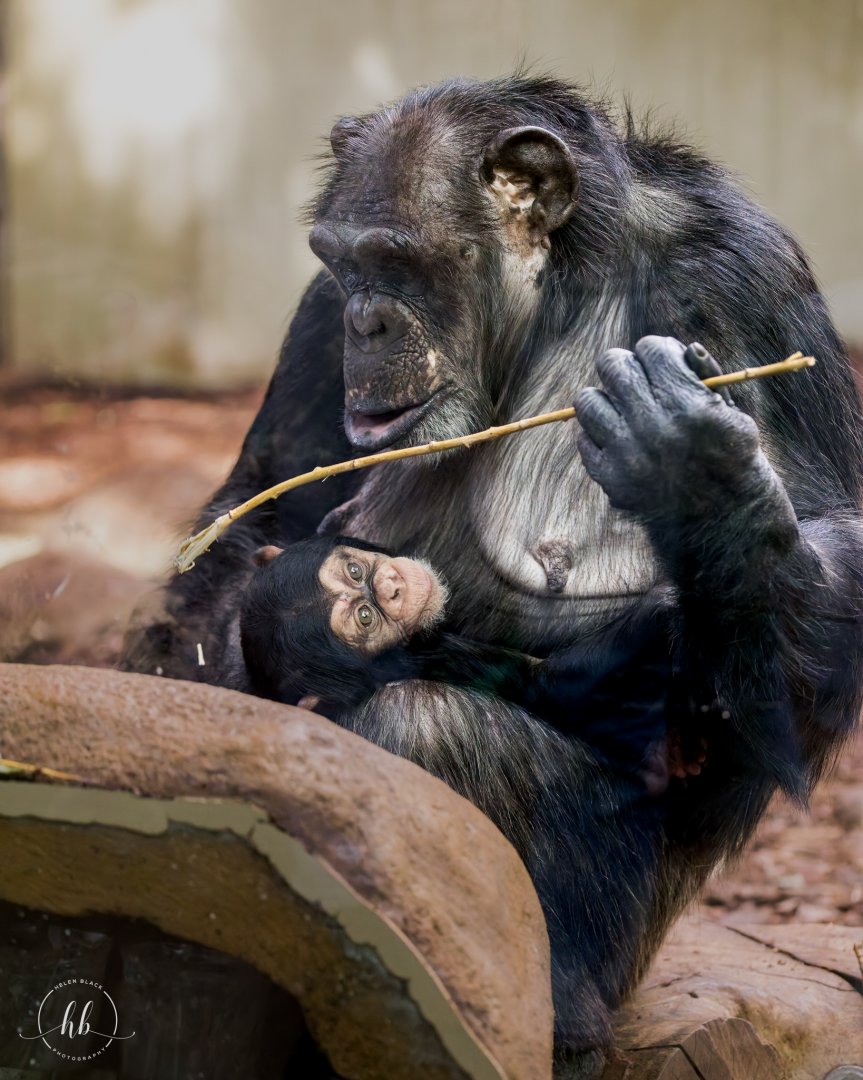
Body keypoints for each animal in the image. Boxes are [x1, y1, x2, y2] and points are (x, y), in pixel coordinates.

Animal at [123, 75, 863, 1074]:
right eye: (345, 262)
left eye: (401, 262)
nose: (365, 319)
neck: (554, 296)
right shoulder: (315, 311)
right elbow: (263, 508)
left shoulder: (747, 280)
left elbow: (830, 562)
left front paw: (701, 481)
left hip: (629, 935)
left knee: (428, 730)